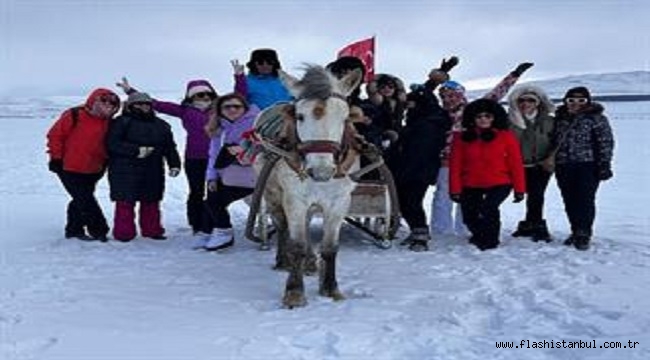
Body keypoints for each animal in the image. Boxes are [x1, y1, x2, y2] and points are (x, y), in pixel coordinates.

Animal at [253, 64, 364, 306]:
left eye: (344, 118)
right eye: (300, 116)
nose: (321, 171)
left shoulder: (339, 201)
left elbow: (330, 247)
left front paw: (330, 288)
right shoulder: (295, 199)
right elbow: (297, 245)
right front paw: (294, 293)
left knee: (306, 223)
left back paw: (311, 263)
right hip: (273, 194)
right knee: (282, 224)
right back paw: (282, 260)